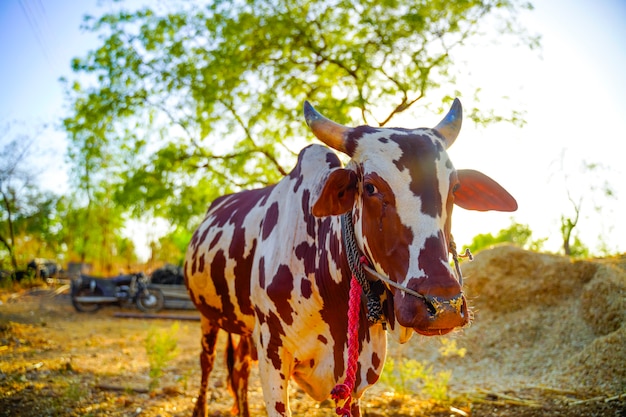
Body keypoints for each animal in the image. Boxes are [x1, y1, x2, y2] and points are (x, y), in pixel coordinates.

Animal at [183, 98, 516, 416]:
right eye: (369, 187)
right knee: (207, 362)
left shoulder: (357, 371)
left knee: (239, 369)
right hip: (207, 318)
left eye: (454, 188)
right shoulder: (272, 355)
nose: (444, 307)